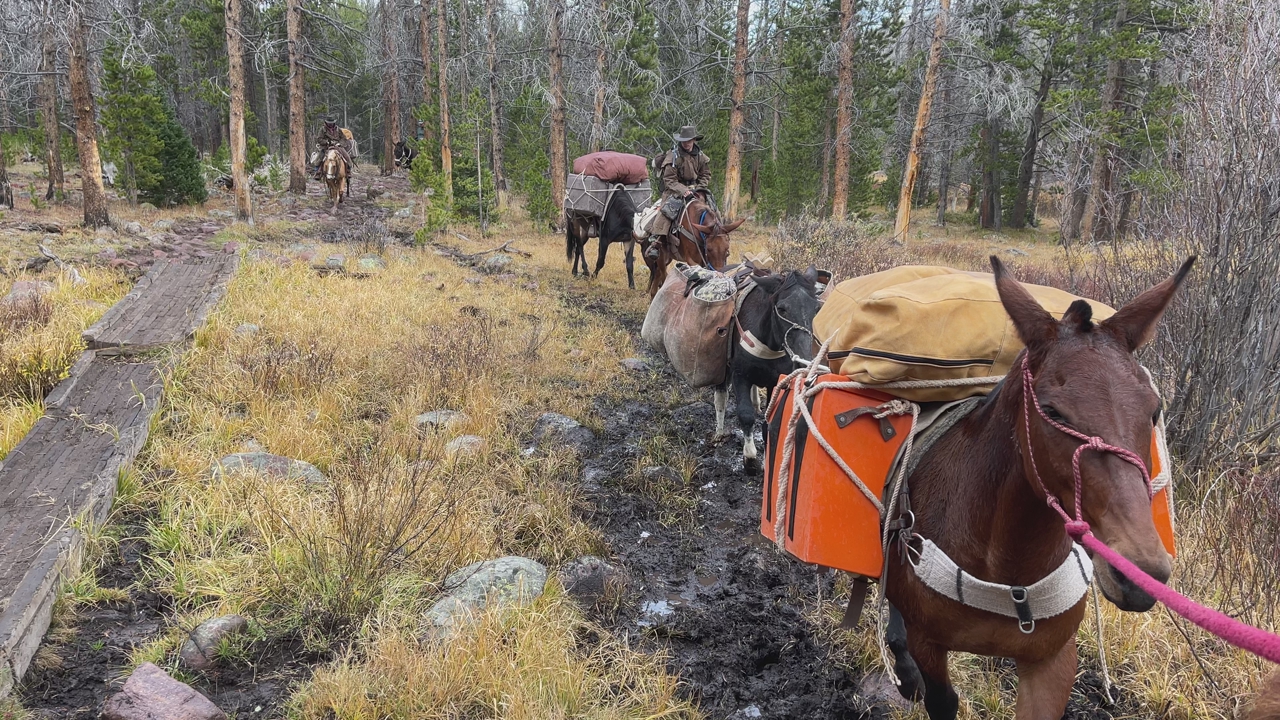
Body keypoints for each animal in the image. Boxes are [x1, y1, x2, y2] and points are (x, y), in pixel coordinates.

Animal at [712, 265, 820, 466]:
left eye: (816, 308)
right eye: (782, 309)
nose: (803, 360)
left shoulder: (775, 381)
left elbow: (768, 420)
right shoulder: (739, 375)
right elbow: (745, 414)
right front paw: (749, 456)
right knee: (721, 396)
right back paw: (720, 433)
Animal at [879, 255, 1195, 719]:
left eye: (1153, 410)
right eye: (1052, 410)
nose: (1140, 575)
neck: (1008, 572)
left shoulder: (1052, 661)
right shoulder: (930, 646)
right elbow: (940, 693)